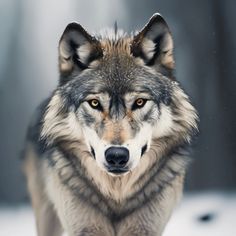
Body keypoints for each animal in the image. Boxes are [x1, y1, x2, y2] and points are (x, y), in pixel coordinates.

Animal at [23, 13, 198, 236]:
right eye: (94, 103)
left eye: (139, 102)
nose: (117, 156)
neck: (117, 194)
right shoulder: (85, 227)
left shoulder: (145, 227)